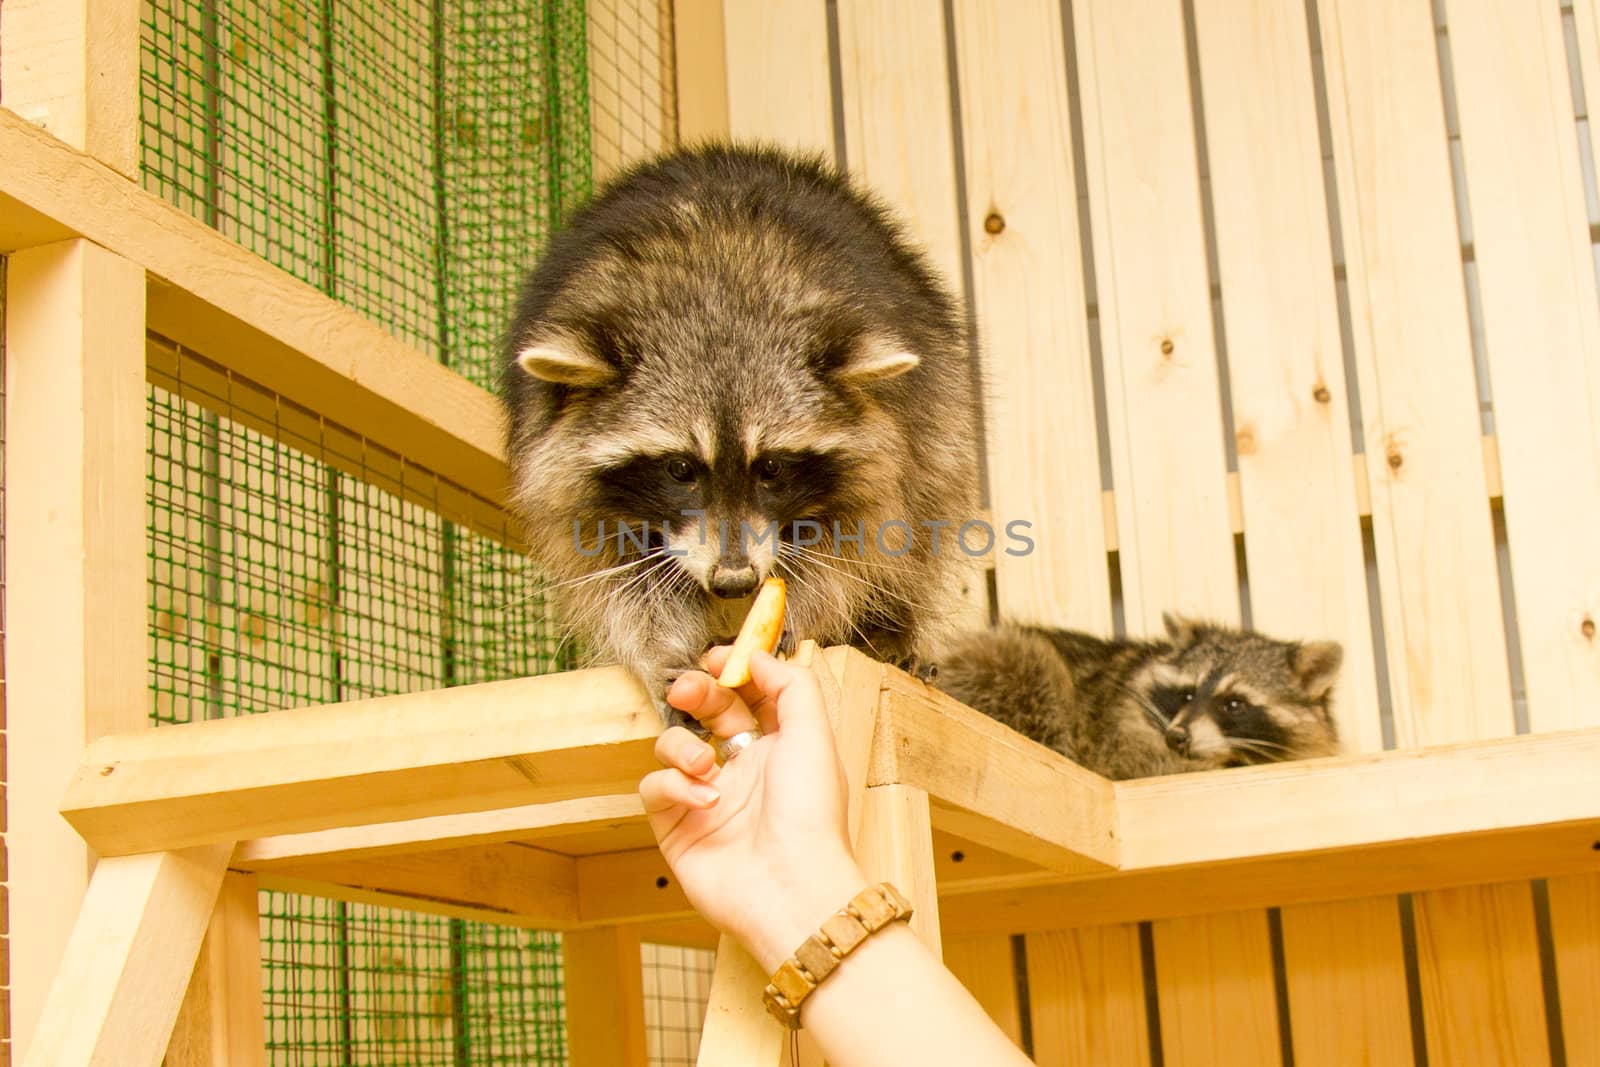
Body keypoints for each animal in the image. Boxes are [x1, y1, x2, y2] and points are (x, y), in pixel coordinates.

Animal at [502, 143, 972, 726]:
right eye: (680, 468)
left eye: (770, 466)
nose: (735, 582)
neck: (719, 297)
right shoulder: (559, 463)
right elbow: (613, 573)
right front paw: (660, 649)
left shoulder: (890, 432)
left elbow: (857, 546)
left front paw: (804, 608)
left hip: (940, 408)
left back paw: (890, 632)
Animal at [934, 614, 1344, 780]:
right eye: (1187, 694)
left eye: (1234, 704)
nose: (1177, 737)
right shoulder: (1119, 731)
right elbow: (1144, 762)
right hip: (1004, 664)